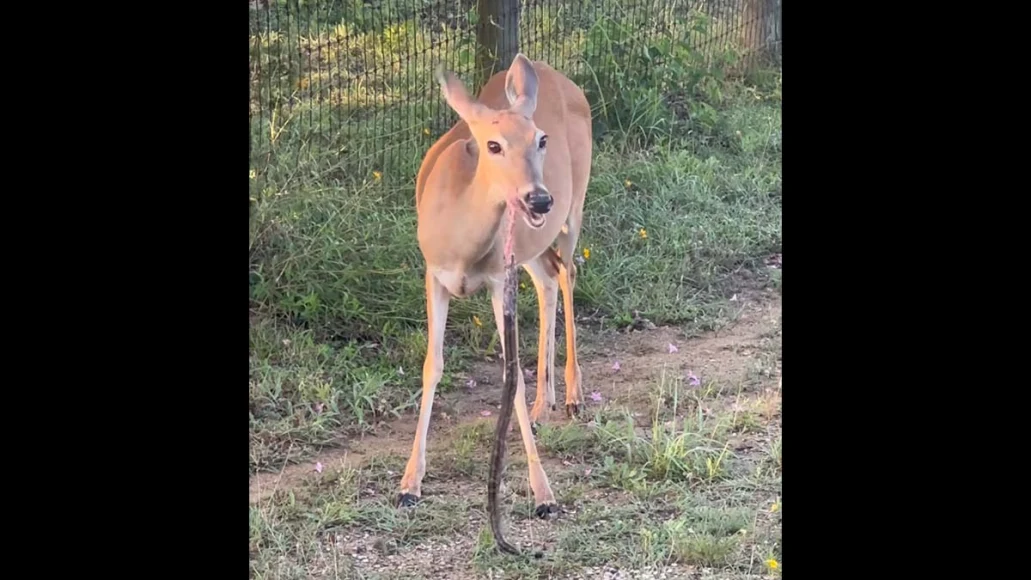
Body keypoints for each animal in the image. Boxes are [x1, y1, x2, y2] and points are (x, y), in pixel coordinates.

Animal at [395, 54, 593, 543]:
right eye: (493, 145)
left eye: (541, 139)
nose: (539, 199)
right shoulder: (434, 273)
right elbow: (432, 366)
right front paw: (409, 484)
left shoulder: (498, 279)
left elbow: (511, 375)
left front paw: (544, 495)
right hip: (531, 246)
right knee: (549, 279)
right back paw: (544, 404)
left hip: (574, 207)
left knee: (569, 272)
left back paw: (574, 395)